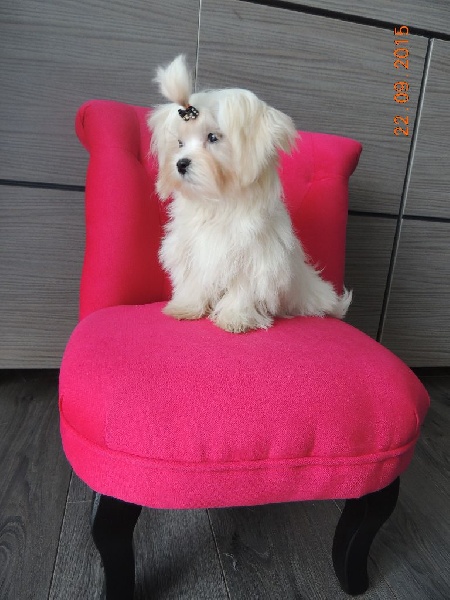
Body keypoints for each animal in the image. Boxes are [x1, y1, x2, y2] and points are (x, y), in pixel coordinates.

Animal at [148, 55, 351, 333]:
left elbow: (242, 288)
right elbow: (194, 281)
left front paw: (235, 318)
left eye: (213, 137)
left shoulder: (254, 257)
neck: (218, 202)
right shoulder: (192, 250)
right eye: (179, 143)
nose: (180, 163)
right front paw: (186, 307)